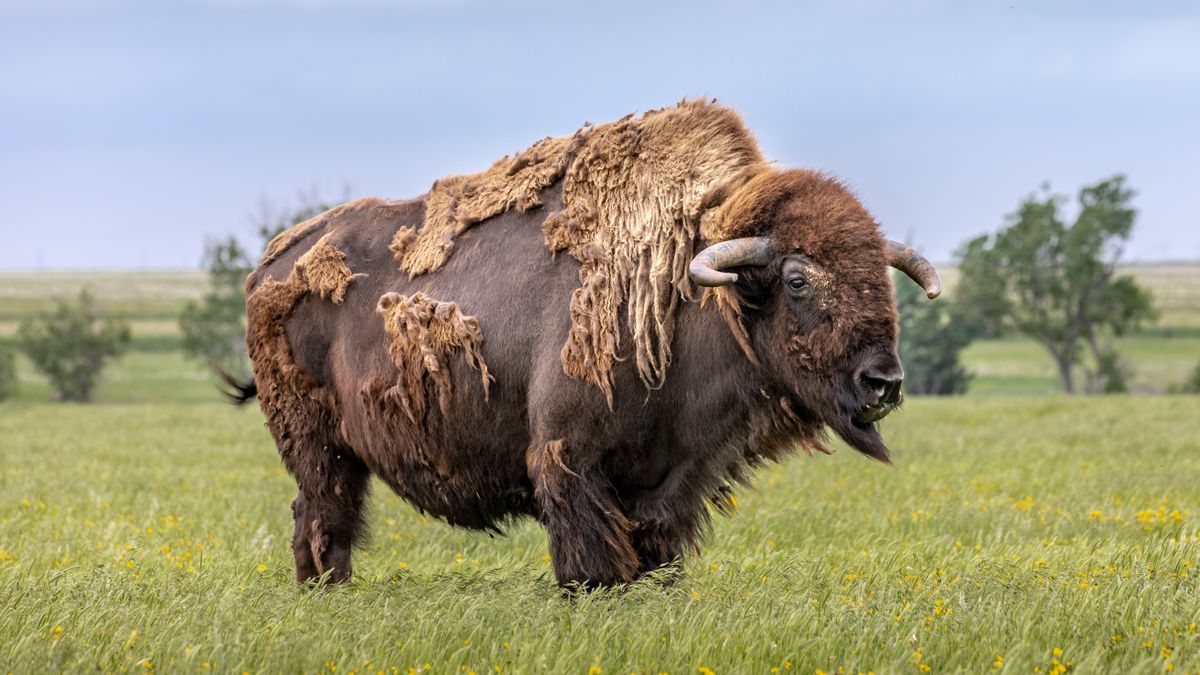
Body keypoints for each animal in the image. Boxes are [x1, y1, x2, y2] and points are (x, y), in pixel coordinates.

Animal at [225, 97, 936, 586]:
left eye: (880, 277)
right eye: (797, 278)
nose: (884, 382)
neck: (684, 288)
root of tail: (270, 264)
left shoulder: (670, 483)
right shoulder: (571, 463)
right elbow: (589, 564)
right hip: (319, 448)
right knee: (323, 517)